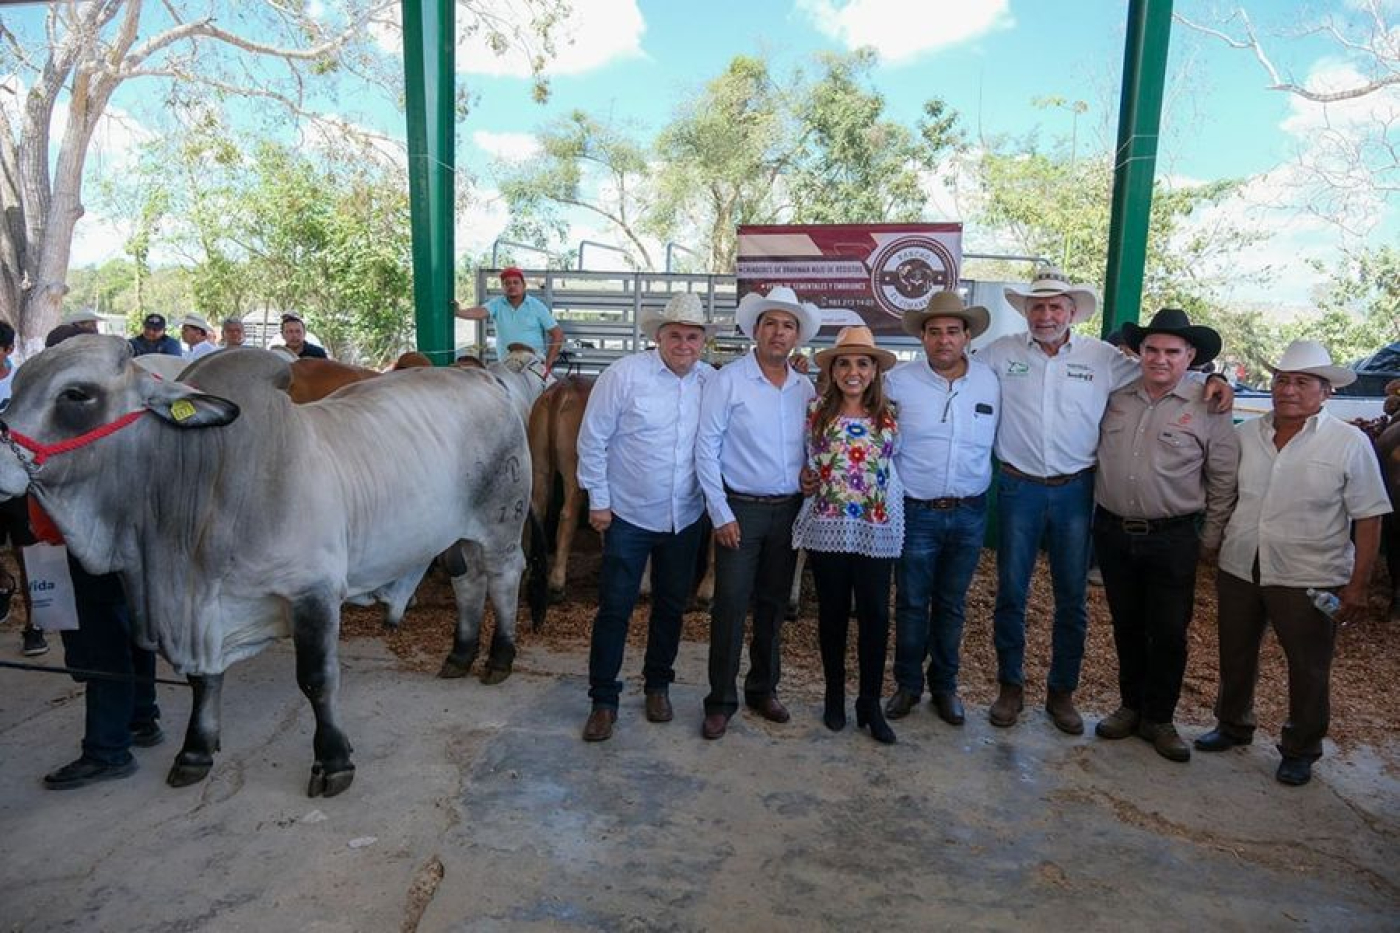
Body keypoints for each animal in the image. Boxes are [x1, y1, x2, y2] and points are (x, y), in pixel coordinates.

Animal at [0, 337, 540, 795]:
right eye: (17, 386)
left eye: (76, 394)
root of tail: (484, 377)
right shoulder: (207, 610)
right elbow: (204, 680)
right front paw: (195, 752)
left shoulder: (313, 594)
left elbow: (317, 680)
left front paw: (332, 761)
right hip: (458, 534)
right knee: (469, 583)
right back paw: (460, 654)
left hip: (501, 520)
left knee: (504, 578)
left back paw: (499, 658)